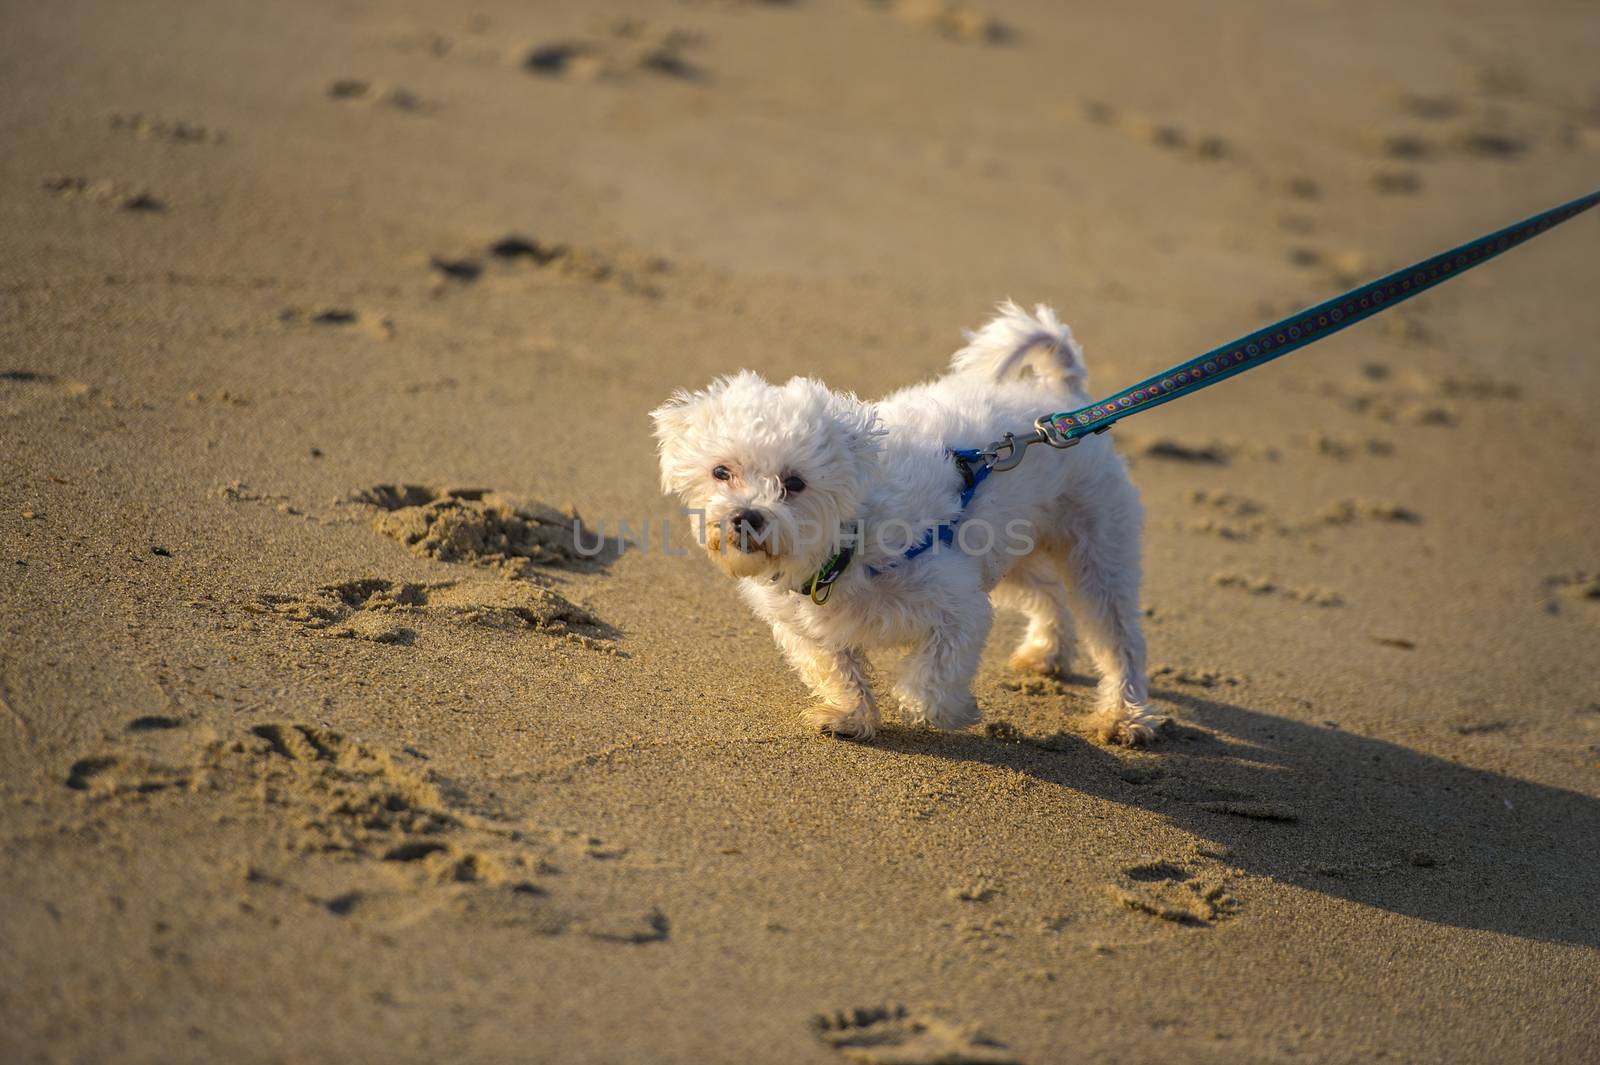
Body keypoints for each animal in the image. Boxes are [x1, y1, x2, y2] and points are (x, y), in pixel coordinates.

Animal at [649, 302, 1164, 741]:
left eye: (795, 483)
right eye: (721, 472)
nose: (745, 517)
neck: (847, 542)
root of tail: (1062, 399)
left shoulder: (958, 607)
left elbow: (930, 682)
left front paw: (950, 712)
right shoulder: (806, 629)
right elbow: (836, 669)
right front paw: (849, 715)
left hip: (1096, 551)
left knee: (1120, 638)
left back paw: (1123, 717)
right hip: (1007, 555)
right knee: (1048, 593)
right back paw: (1046, 654)